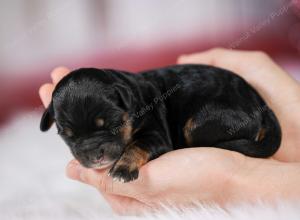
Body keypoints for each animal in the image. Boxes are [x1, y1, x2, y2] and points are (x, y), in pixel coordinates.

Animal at [39, 64, 282, 183]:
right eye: (67, 135)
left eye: (113, 125)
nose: (94, 156)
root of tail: (261, 102)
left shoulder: (155, 134)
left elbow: (135, 146)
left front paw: (122, 169)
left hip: (198, 124)